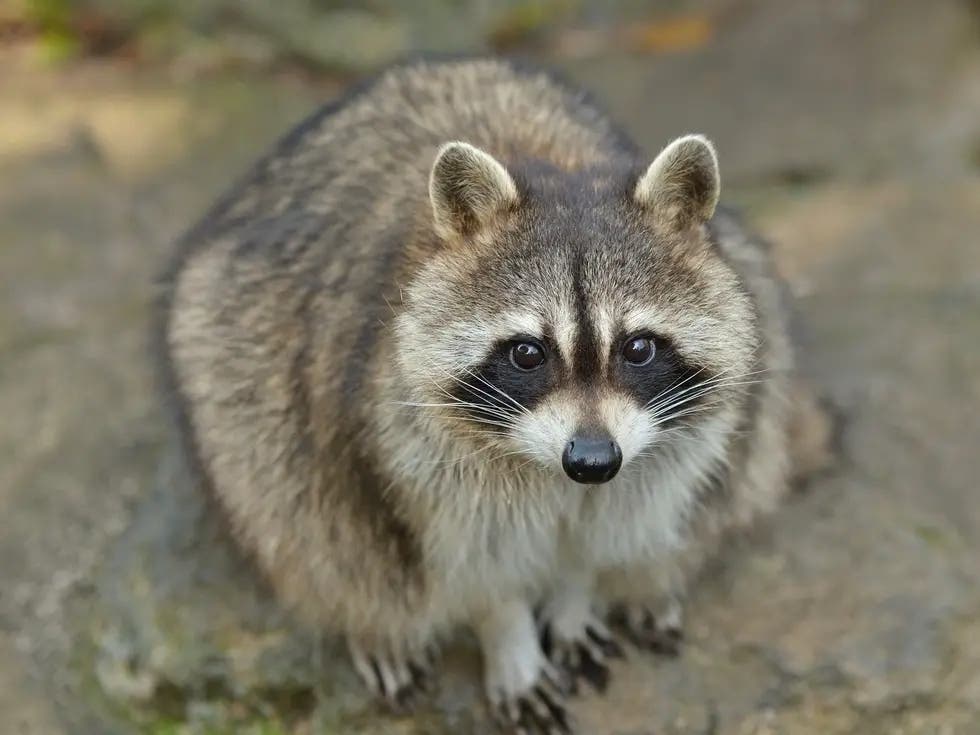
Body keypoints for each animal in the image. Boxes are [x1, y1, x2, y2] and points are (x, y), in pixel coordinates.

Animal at [157, 57, 828, 732]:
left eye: (638, 348)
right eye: (527, 353)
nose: (592, 461)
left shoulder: (659, 446)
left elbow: (599, 533)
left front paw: (577, 594)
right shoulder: (410, 442)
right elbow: (479, 566)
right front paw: (510, 641)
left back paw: (649, 578)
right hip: (228, 365)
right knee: (302, 519)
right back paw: (374, 627)